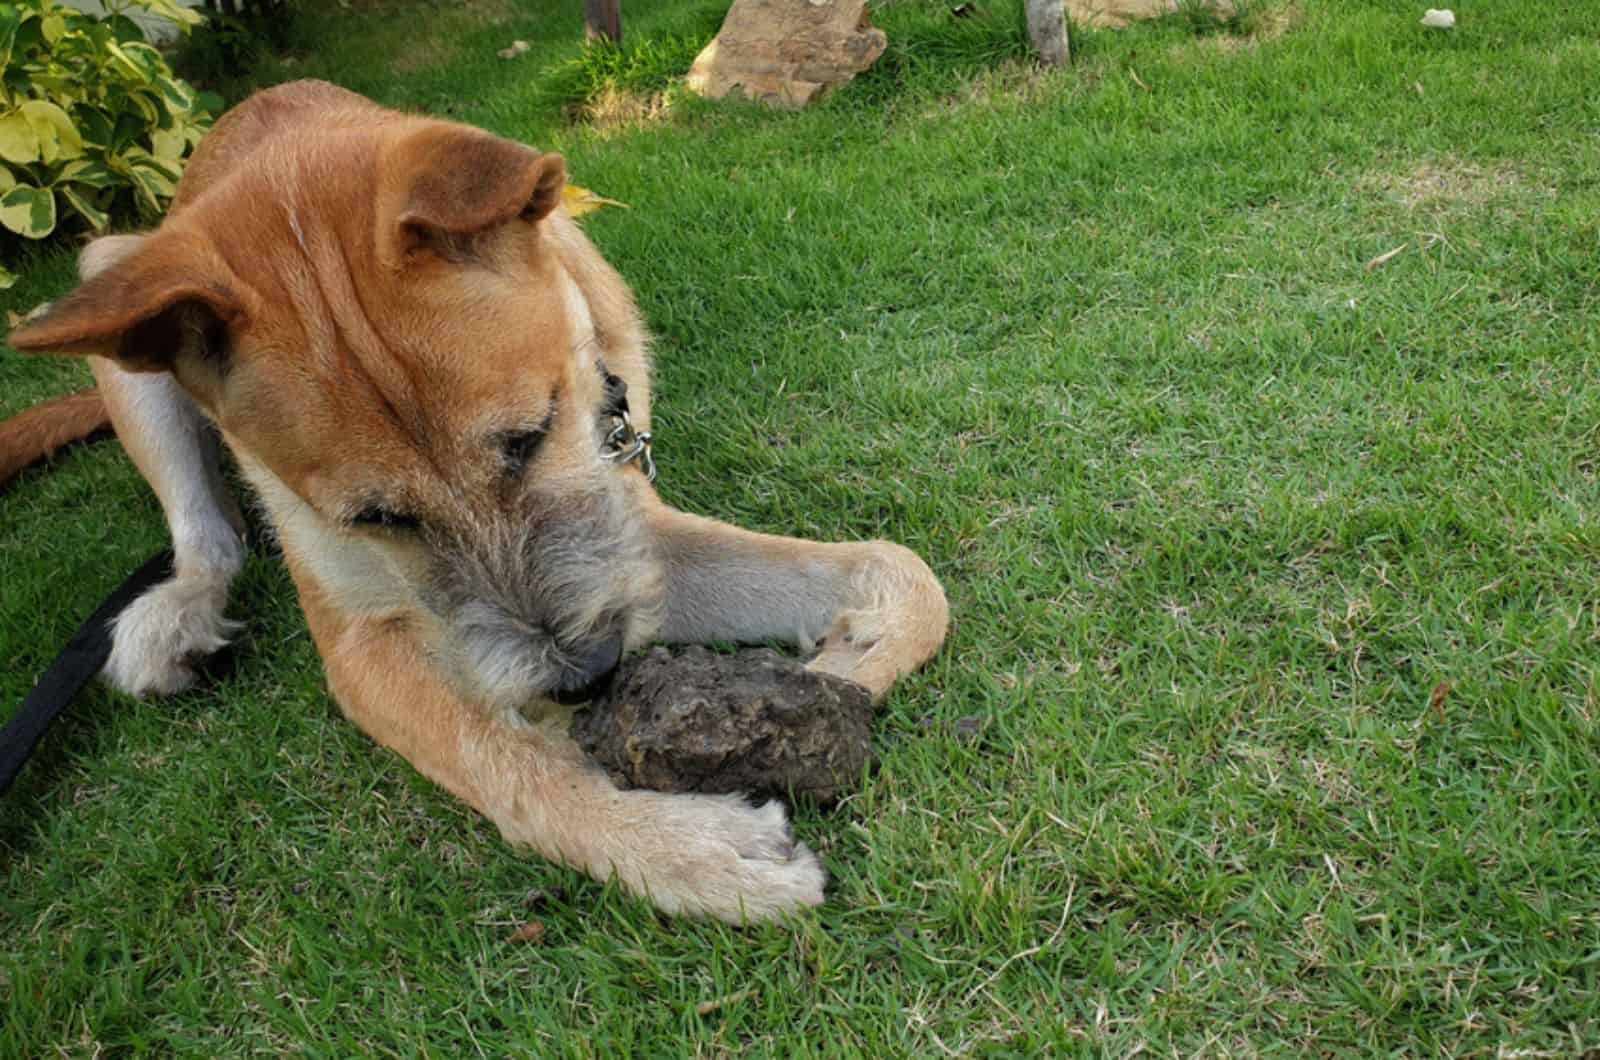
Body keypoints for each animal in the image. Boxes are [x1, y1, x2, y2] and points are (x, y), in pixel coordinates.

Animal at [6, 83, 940, 928]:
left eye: (531, 436)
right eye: (375, 519)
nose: (588, 676)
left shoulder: (625, 530)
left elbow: (906, 573)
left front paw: (846, 662)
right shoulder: (361, 643)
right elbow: (500, 758)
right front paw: (680, 847)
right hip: (109, 284)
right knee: (209, 539)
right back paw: (172, 621)